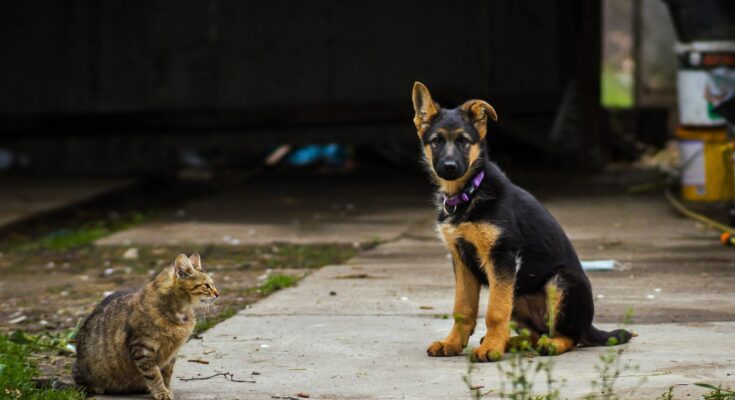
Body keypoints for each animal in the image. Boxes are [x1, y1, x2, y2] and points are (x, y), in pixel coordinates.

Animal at [73, 255, 220, 398]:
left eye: (213, 284)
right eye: (206, 285)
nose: (218, 294)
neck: (180, 312)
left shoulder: (171, 354)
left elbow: (166, 374)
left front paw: (166, 389)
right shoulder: (143, 349)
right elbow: (154, 375)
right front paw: (162, 392)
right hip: (85, 369)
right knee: (79, 382)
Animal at [414, 82, 632, 362]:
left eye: (463, 141)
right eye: (437, 141)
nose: (450, 167)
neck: (469, 192)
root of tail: (589, 326)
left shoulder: (502, 257)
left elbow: (495, 312)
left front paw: (491, 349)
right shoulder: (461, 260)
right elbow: (463, 308)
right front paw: (452, 343)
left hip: (562, 280)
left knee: (569, 336)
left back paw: (547, 344)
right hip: (517, 291)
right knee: (536, 333)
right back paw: (514, 342)